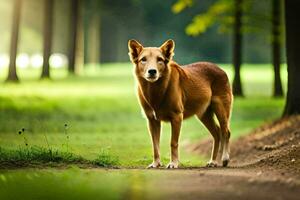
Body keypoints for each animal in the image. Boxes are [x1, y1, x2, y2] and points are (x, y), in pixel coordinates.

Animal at [127, 38, 233, 167]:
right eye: (143, 59)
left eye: (160, 59)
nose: (152, 71)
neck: (156, 91)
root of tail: (220, 69)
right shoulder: (152, 120)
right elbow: (155, 145)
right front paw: (156, 163)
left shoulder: (177, 117)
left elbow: (173, 142)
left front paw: (173, 163)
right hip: (203, 114)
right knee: (217, 133)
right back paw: (213, 161)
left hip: (221, 109)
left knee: (226, 132)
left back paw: (225, 158)